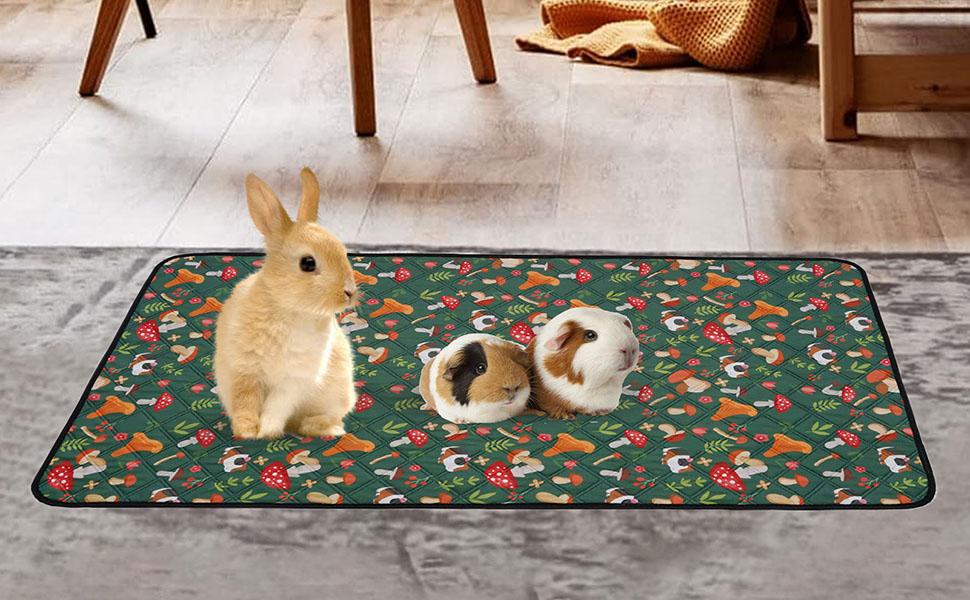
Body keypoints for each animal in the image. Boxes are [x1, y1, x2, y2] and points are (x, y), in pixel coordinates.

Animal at [214, 168, 358, 439]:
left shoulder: (294, 381)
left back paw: (322, 428)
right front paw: (247, 432)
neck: (289, 309)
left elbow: (276, 406)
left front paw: (267, 432)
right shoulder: (245, 370)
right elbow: (245, 402)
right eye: (308, 263)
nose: (349, 293)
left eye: (344, 252)